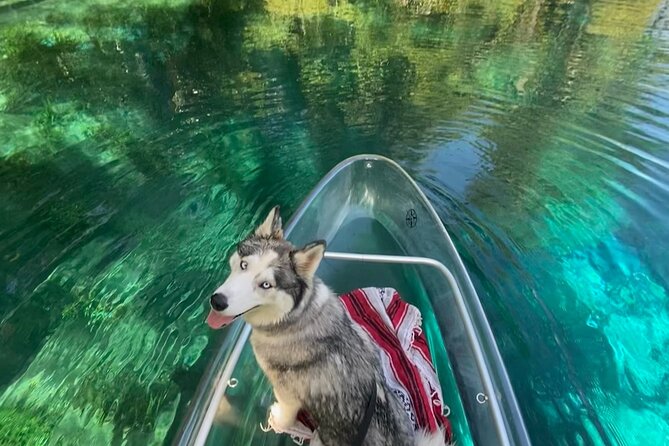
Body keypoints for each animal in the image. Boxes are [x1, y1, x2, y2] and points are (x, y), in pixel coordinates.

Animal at [205, 207, 444, 444]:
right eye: (244, 265)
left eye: (266, 285)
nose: (217, 302)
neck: (294, 317)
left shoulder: (288, 394)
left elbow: (285, 414)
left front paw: (278, 421)